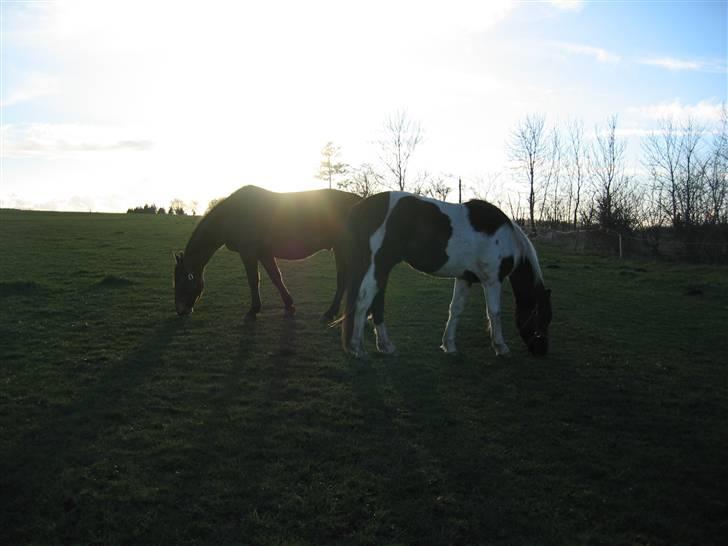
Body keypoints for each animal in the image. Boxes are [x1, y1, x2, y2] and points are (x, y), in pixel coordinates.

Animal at [173, 184, 362, 318]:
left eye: (181, 280)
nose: (180, 310)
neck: (232, 214)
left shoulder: (248, 253)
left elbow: (253, 280)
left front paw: (254, 309)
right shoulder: (264, 254)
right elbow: (276, 277)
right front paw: (289, 304)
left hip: (342, 248)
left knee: (343, 279)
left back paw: (331, 312)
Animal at [338, 191, 556, 356]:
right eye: (542, 317)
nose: (542, 351)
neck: (506, 238)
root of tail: (361, 207)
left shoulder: (465, 278)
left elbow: (455, 309)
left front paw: (449, 345)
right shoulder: (492, 280)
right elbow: (494, 312)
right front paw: (501, 347)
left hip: (381, 268)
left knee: (376, 304)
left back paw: (385, 346)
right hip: (379, 264)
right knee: (364, 301)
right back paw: (358, 348)